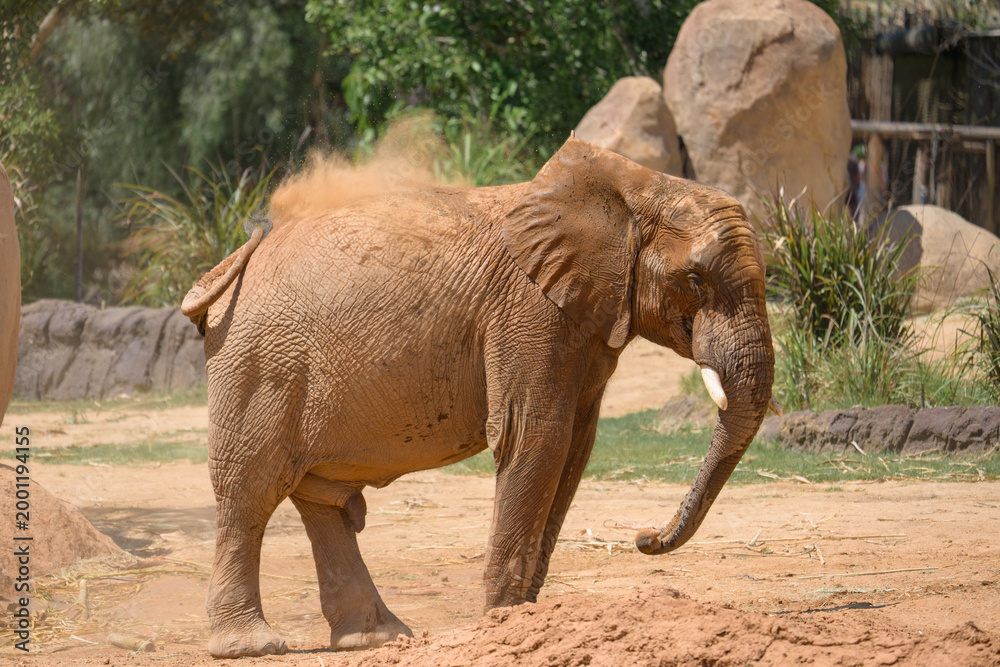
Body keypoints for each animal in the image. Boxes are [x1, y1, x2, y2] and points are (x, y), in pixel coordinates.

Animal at [181, 137, 779, 658]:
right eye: (695, 280)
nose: (644, 538)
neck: (635, 185)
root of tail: (225, 269)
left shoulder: (586, 320)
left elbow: (574, 448)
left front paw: (530, 618)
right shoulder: (528, 307)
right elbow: (534, 437)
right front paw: (504, 623)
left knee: (320, 499)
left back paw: (379, 638)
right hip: (259, 361)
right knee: (250, 492)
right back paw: (253, 647)